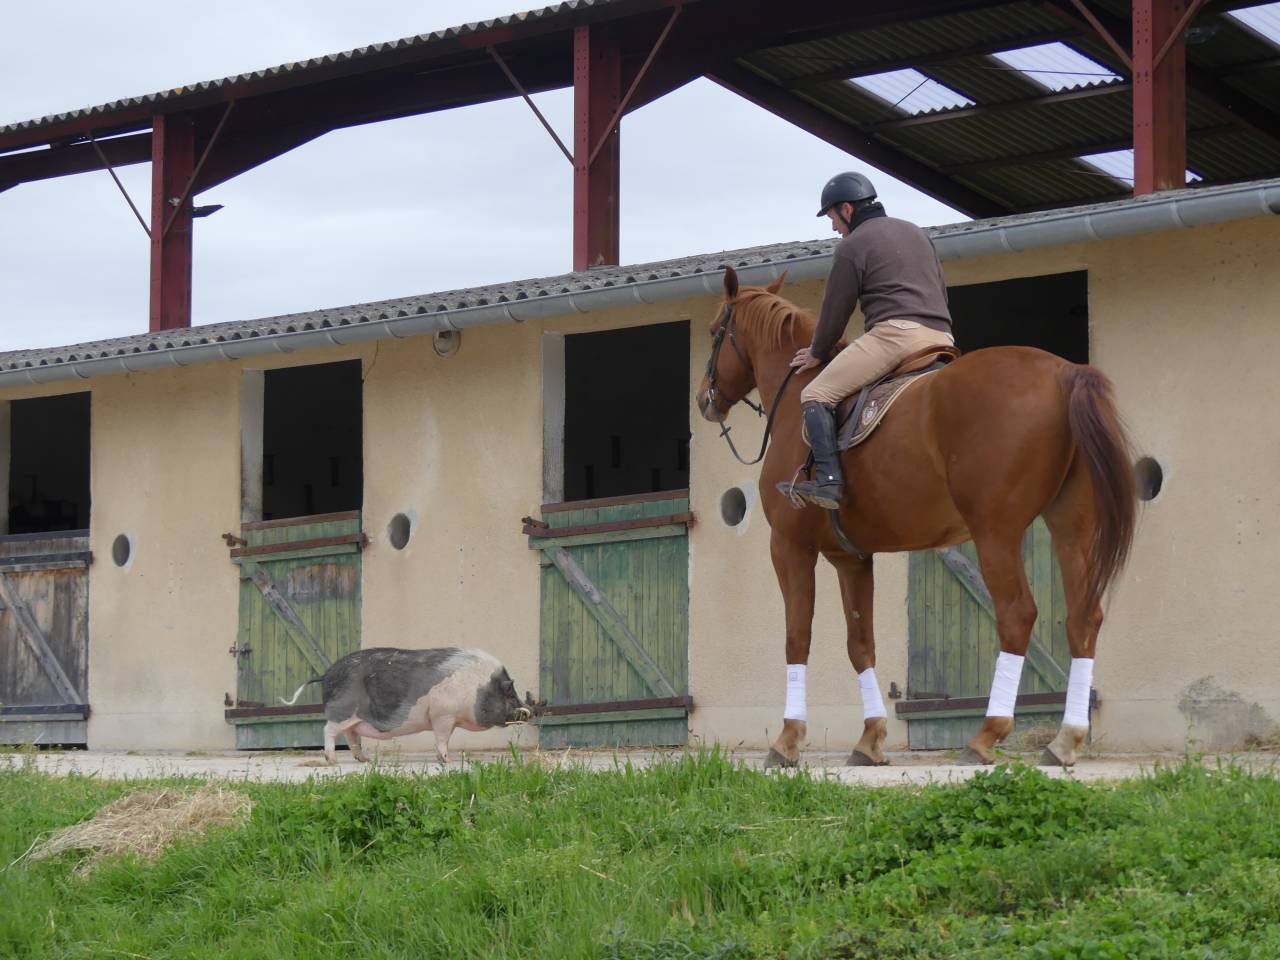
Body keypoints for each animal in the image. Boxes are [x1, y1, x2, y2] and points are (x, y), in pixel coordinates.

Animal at [695, 267, 1136, 768]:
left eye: (714, 331)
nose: (703, 399)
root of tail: (1065, 371)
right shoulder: (851, 558)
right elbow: (860, 643)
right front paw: (870, 740)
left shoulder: (789, 548)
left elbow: (796, 637)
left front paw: (787, 740)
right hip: (1071, 527)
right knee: (1083, 618)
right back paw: (1065, 740)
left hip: (995, 533)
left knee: (1017, 615)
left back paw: (986, 734)